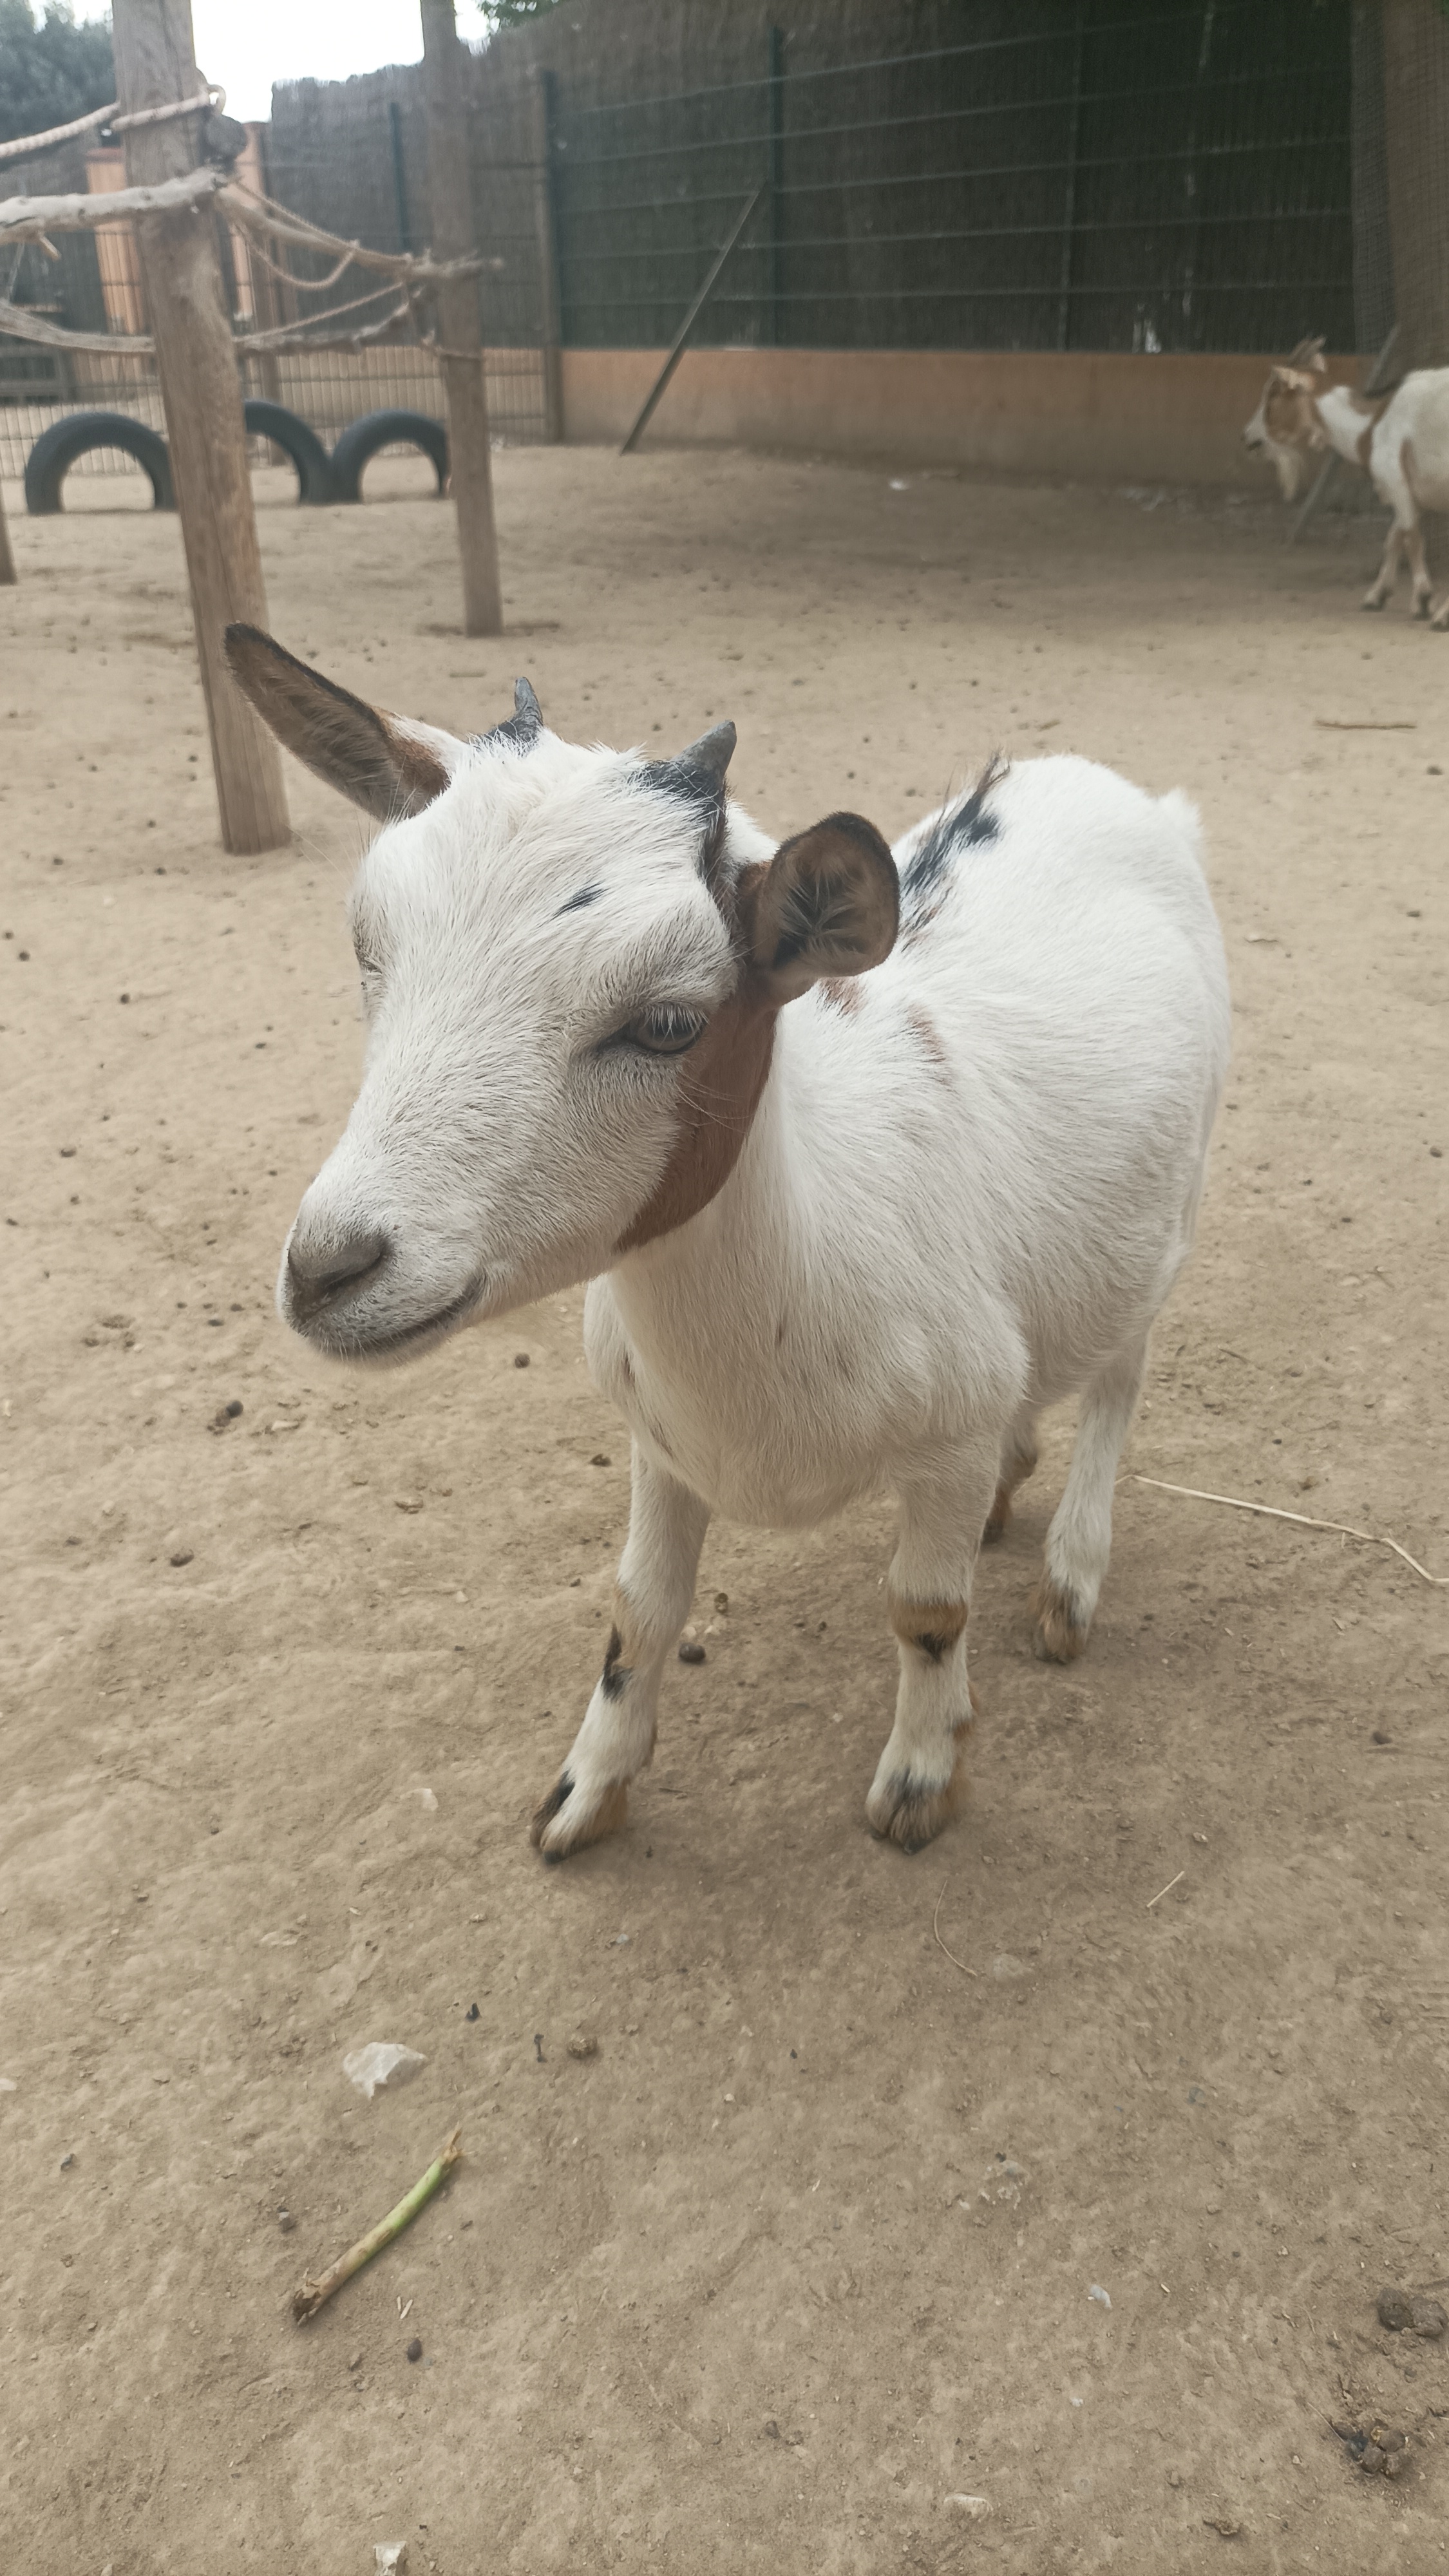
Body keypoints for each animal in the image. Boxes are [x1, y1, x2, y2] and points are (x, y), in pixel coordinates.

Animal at [226, 624, 1231, 1861]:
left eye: (666, 1022)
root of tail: (1105, 787)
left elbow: (927, 1612)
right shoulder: (658, 1441)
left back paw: (1071, 1582)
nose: (330, 1270)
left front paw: (918, 1782)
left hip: (1174, 1203)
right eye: (368, 948)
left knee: (1119, 1377)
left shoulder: (939, 1440)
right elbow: (639, 1609)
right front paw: (585, 1793)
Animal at [1242, 334, 1449, 627]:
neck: (1373, 424)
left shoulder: (1397, 483)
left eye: (1273, 392)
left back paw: (1442, 618)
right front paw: (1376, 597)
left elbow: (1412, 539)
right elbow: (1394, 538)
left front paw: (1422, 600)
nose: (1248, 437)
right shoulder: (1407, 495)